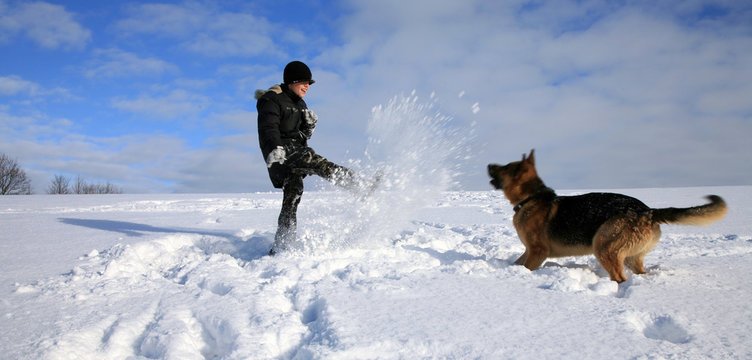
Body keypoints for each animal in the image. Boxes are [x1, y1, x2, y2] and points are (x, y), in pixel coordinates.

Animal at [488, 150, 728, 282]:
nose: (489, 164)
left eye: (506, 167)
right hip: (630, 256)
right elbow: (516, 263)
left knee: (619, 278)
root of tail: (648, 211)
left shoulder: (538, 252)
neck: (531, 198)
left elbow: (526, 266)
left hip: (603, 246)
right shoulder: (529, 251)